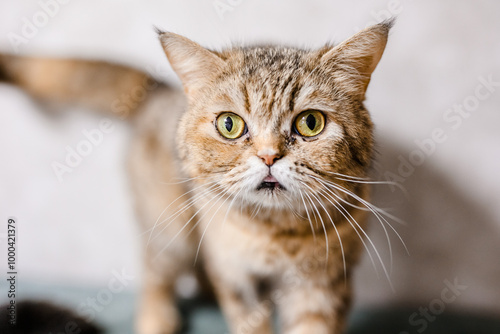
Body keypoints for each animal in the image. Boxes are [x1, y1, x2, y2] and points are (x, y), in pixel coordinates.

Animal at [0, 19, 392, 332]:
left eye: (311, 123)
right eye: (229, 125)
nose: (268, 155)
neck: (275, 231)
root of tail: (158, 91)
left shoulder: (323, 283)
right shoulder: (237, 279)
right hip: (170, 226)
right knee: (156, 273)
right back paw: (156, 319)